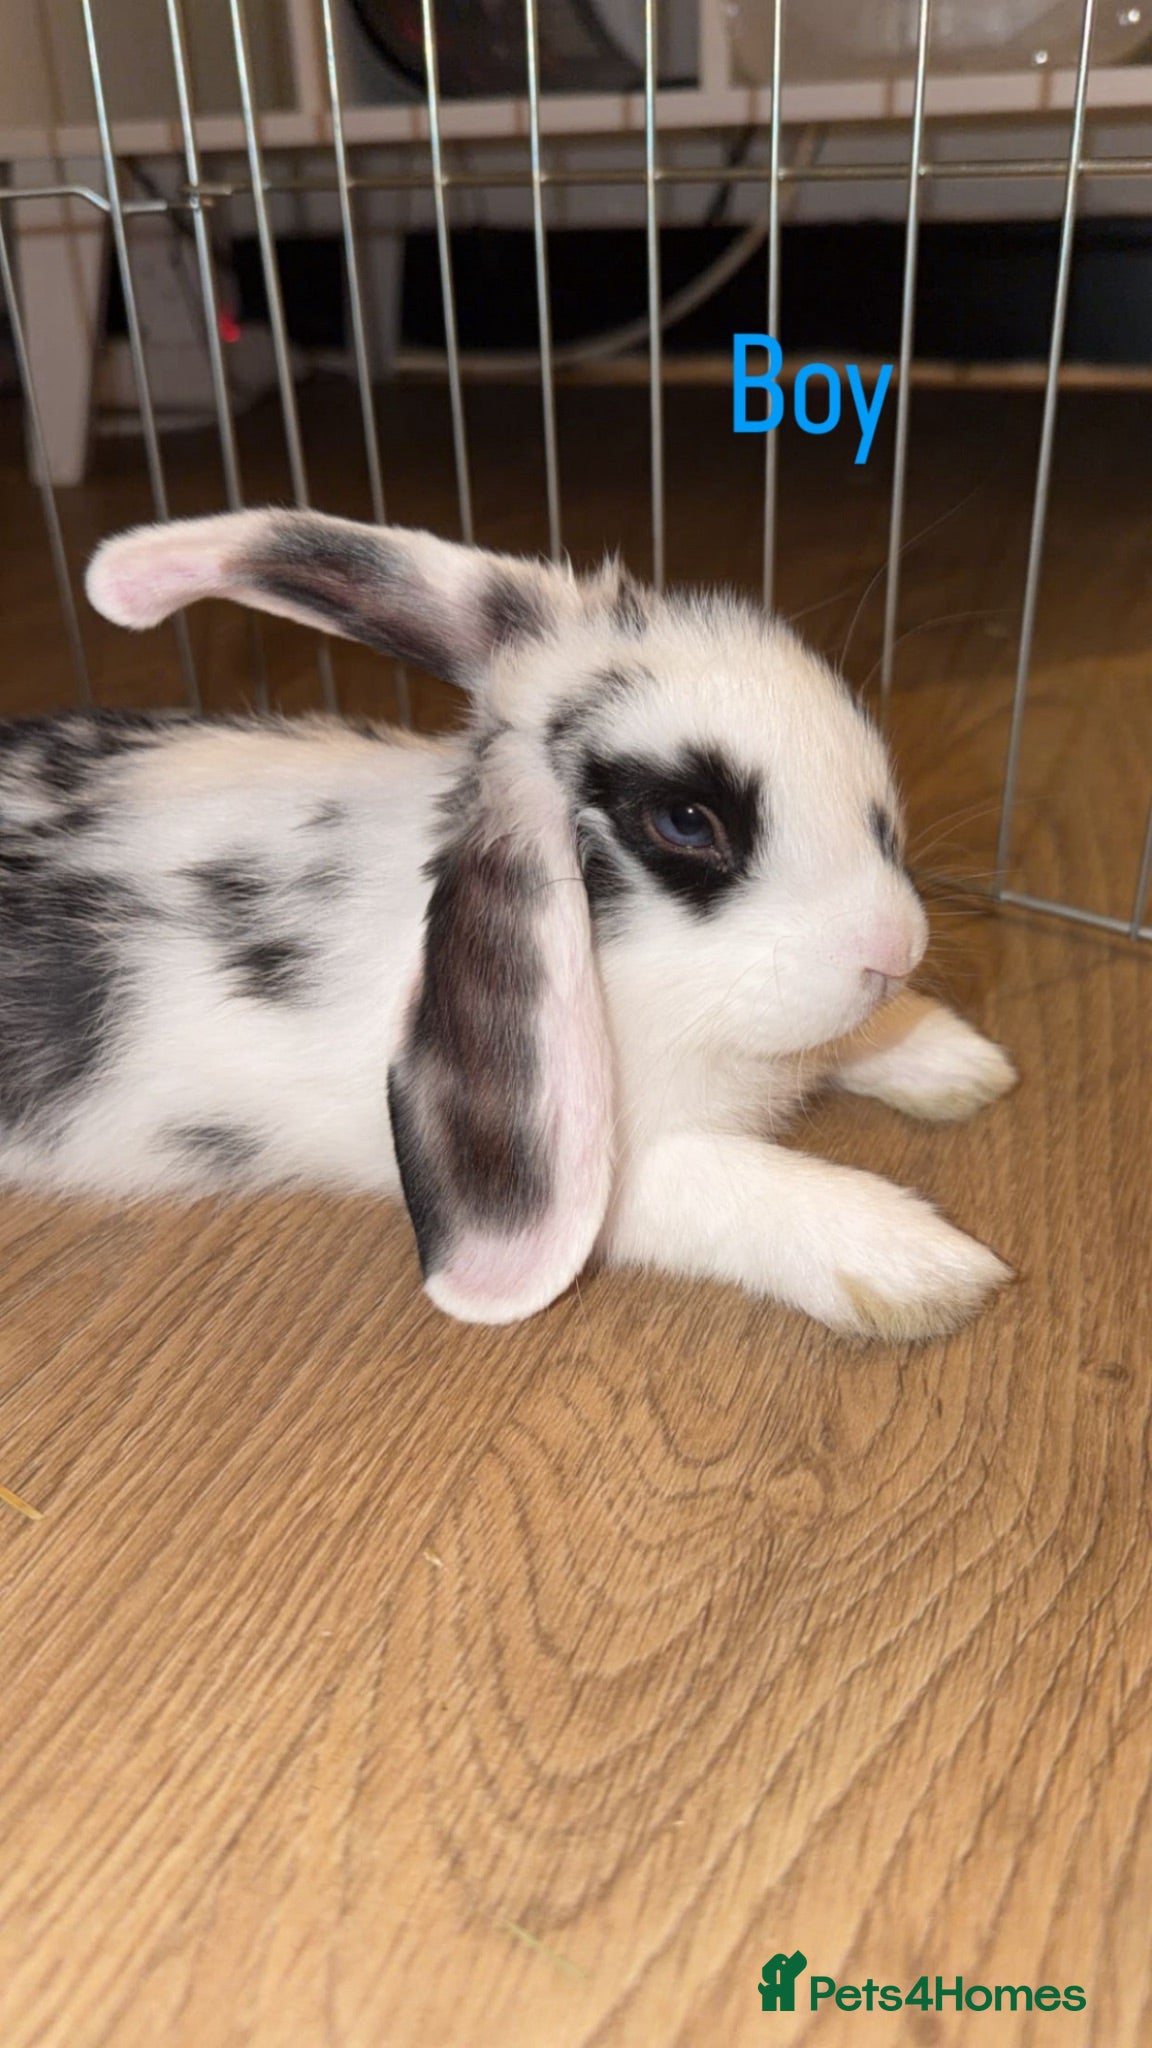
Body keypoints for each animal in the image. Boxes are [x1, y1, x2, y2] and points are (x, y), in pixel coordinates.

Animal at [0, 507, 1016, 1336]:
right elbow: (730, 1182)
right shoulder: (613, 1167)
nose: (895, 948)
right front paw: (921, 1266)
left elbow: (858, 1041)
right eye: (685, 822)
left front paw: (955, 1061)